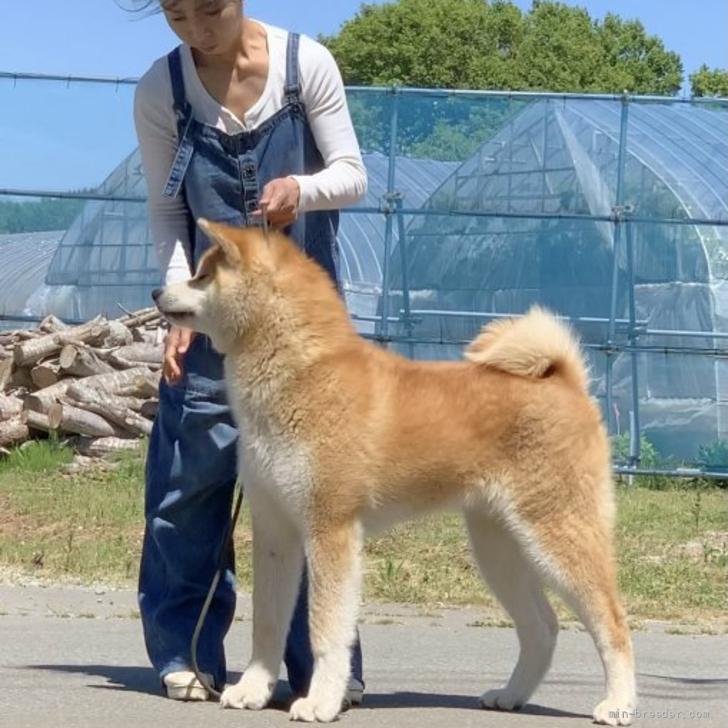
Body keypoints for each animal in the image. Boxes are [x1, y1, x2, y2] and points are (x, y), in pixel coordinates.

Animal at [155, 220, 636, 724]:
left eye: (203, 275)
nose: (156, 291)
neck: (302, 374)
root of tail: (565, 381)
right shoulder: (275, 531)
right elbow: (267, 623)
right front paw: (252, 690)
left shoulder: (331, 529)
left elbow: (326, 628)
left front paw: (321, 700)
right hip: (499, 547)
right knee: (542, 627)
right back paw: (510, 695)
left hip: (556, 535)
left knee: (613, 624)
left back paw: (618, 704)